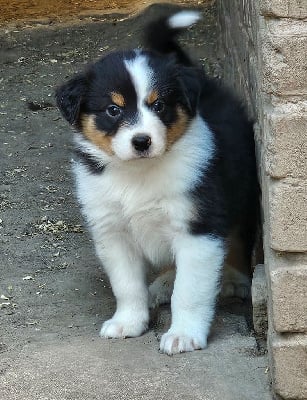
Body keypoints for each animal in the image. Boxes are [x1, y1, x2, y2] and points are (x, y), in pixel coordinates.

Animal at [56, 9, 260, 354]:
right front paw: (128, 322)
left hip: (241, 191)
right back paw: (164, 282)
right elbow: (126, 285)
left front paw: (184, 335)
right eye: (113, 110)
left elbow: (190, 292)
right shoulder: (113, 231)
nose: (142, 141)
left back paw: (232, 279)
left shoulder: (197, 228)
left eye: (159, 105)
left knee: (237, 238)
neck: (139, 173)